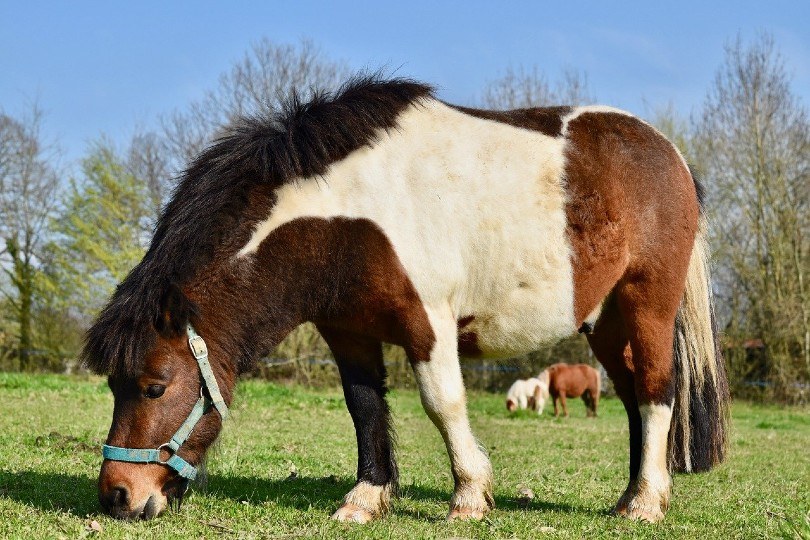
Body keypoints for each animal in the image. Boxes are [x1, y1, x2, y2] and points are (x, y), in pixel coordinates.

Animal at [83, 74, 729, 524]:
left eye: (154, 387)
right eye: (114, 385)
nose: (118, 495)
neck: (349, 215)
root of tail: (670, 155)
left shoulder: (429, 322)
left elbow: (443, 404)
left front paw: (469, 497)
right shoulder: (348, 332)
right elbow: (365, 407)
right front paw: (366, 500)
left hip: (646, 307)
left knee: (656, 391)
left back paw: (645, 504)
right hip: (604, 323)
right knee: (633, 399)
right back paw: (630, 497)